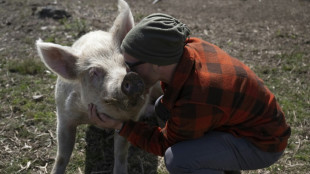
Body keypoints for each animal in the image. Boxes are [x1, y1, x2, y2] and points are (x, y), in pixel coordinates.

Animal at [35, 0, 150, 173]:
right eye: (93, 72)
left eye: (126, 63)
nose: (131, 77)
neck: (88, 116)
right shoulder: (63, 115)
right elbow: (62, 155)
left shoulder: (129, 119)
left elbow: (121, 152)